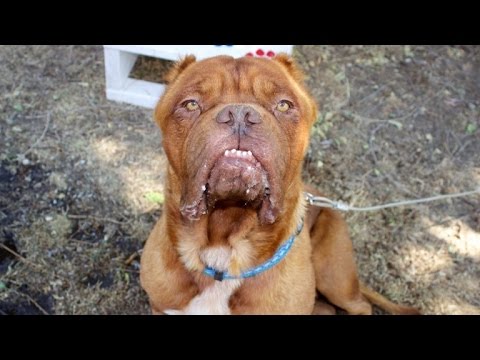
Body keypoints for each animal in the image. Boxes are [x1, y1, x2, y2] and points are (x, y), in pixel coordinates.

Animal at [140, 54, 420, 316]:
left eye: (284, 105)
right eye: (190, 104)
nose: (239, 114)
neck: (224, 252)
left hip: (335, 277)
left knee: (360, 305)